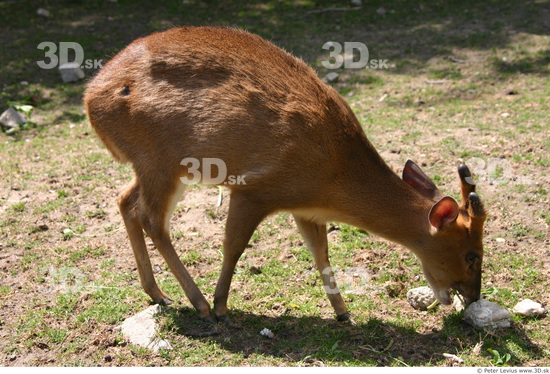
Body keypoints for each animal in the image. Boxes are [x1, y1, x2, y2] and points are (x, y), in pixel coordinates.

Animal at [84, 27, 490, 324]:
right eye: (472, 255)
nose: (473, 297)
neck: (334, 176)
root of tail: (91, 98)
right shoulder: (254, 189)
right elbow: (233, 246)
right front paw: (222, 306)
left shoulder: (305, 210)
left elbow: (321, 254)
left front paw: (343, 314)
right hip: (161, 160)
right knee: (152, 218)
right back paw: (199, 304)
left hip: (153, 167)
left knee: (125, 201)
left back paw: (158, 294)